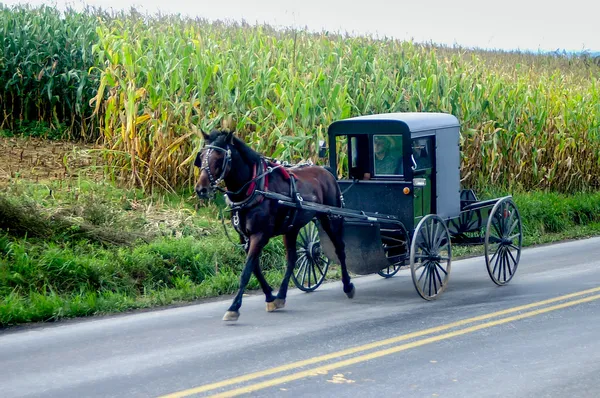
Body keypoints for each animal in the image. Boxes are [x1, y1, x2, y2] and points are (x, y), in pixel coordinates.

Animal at [195, 127, 354, 320]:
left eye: (219, 158)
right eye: (201, 156)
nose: (201, 189)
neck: (255, 188)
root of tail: (327, 171)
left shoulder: (260, 235)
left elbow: (246, 271)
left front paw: (234, 307)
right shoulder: (244, 237)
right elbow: (255, 268)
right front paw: (270, 296)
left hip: (331, 219)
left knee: (340, 248)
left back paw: (348, 285)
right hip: (292, 227)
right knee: (292, 259)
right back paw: (281, 296)